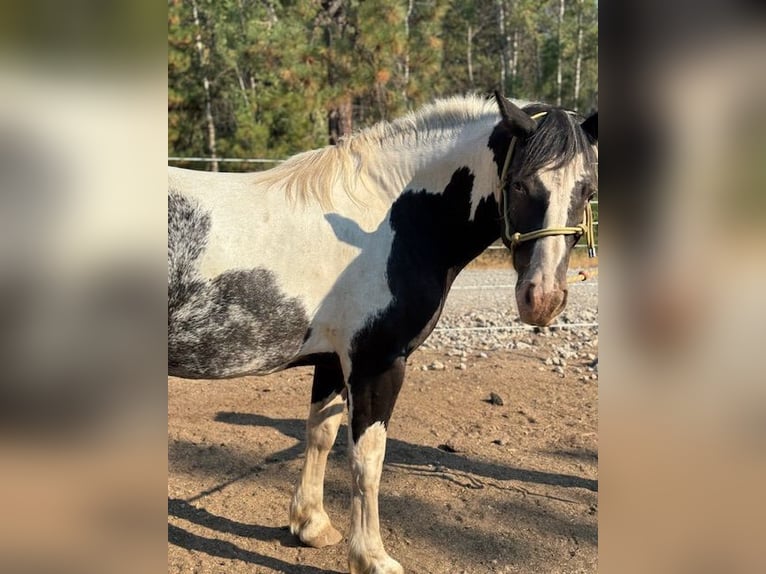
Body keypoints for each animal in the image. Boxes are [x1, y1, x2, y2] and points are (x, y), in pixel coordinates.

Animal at [168, 92, 598, 574]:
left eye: (588, 191)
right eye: (521, 185)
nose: (542, 298)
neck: (388, 222)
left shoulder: (333, 362)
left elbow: (321, 434)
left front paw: (312, 525)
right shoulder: (378, 363)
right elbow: (367, 459)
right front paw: (372, 557)